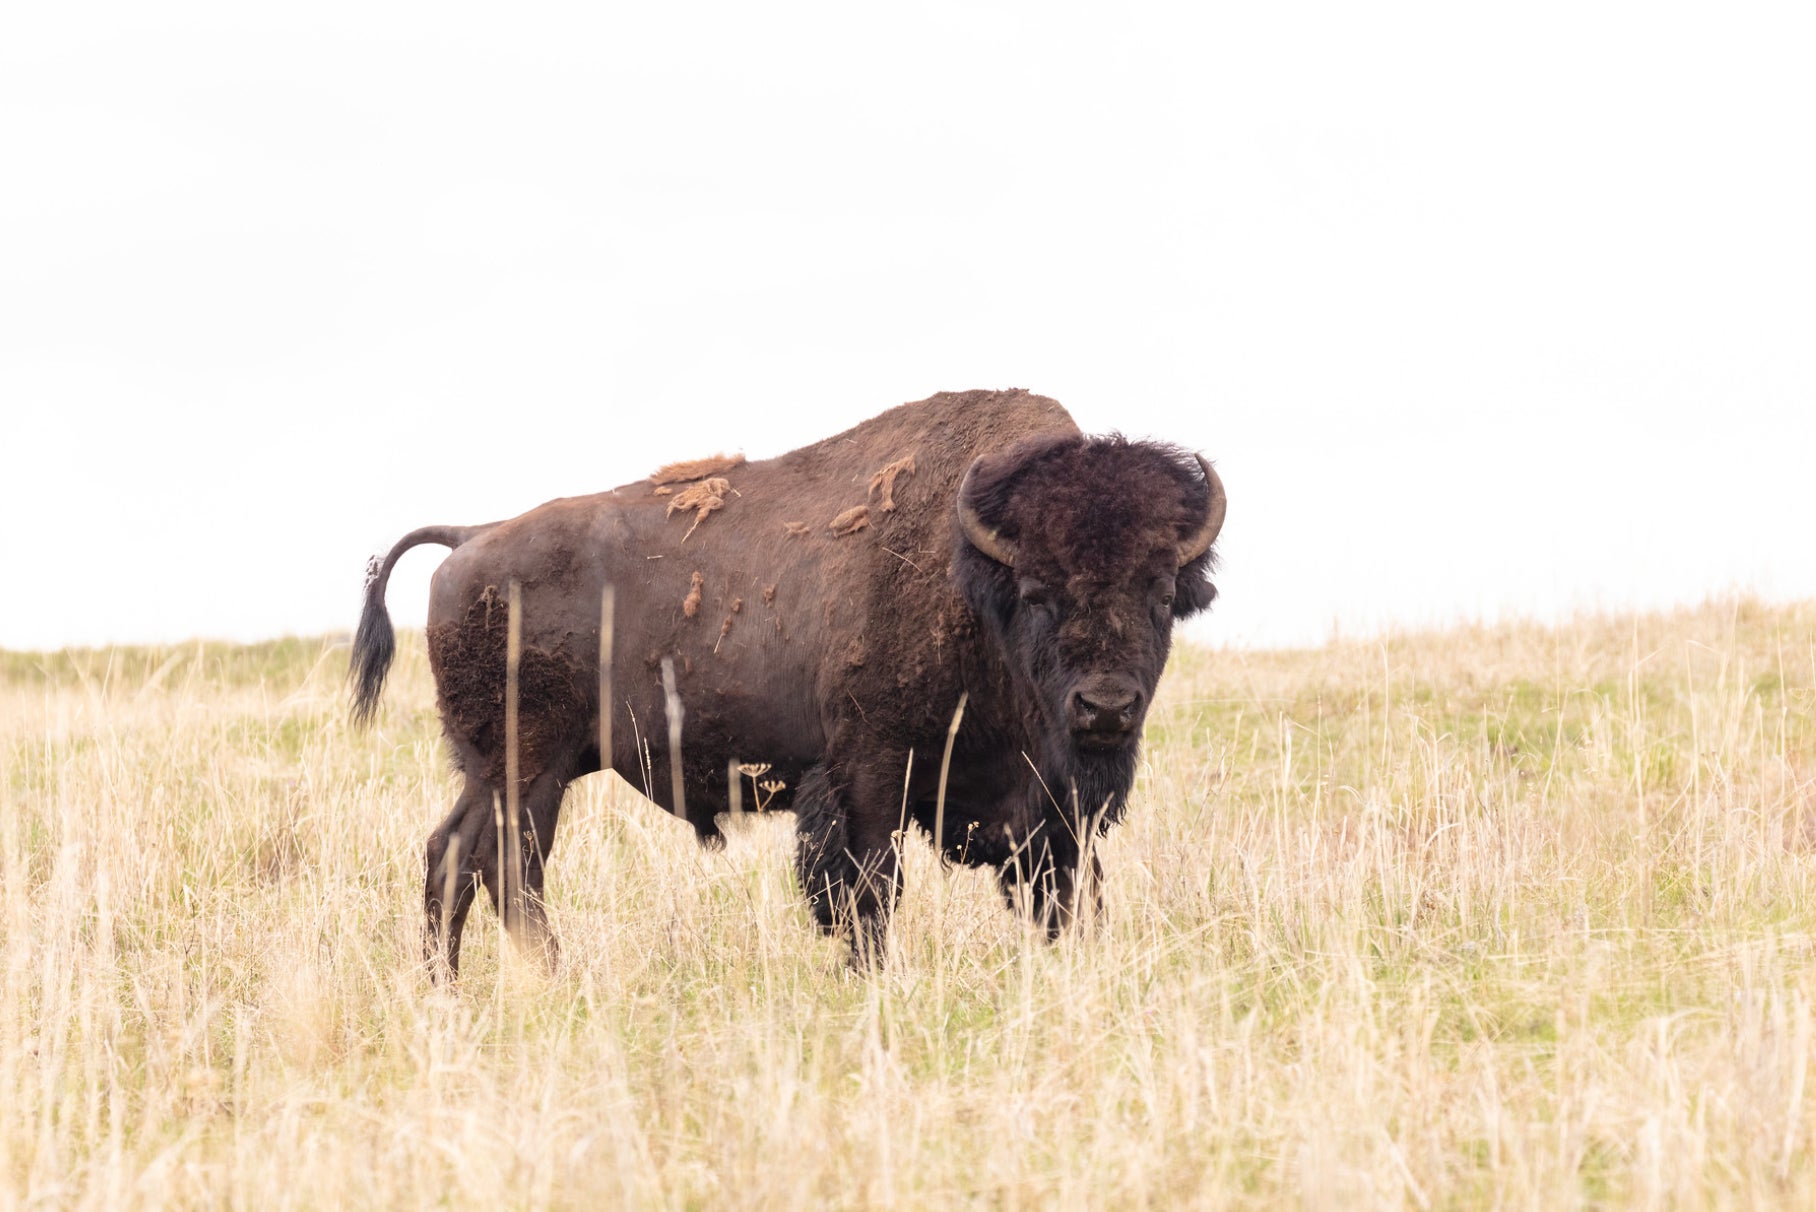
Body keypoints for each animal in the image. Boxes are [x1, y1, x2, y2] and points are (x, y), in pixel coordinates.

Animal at [346, 390, 1227, 973]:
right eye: (1039, 592)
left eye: (1160, 590)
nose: (1105, 707)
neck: (976, 581)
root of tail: (473, 538)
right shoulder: (869, 774)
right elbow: (868, 890)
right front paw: (871, 977)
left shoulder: (1050, 809)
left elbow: (1066, 891)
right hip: (527, 768)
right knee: (503, 866)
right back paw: (545, 978)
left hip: (504, 769)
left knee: (457, 857)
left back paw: (454, 988)